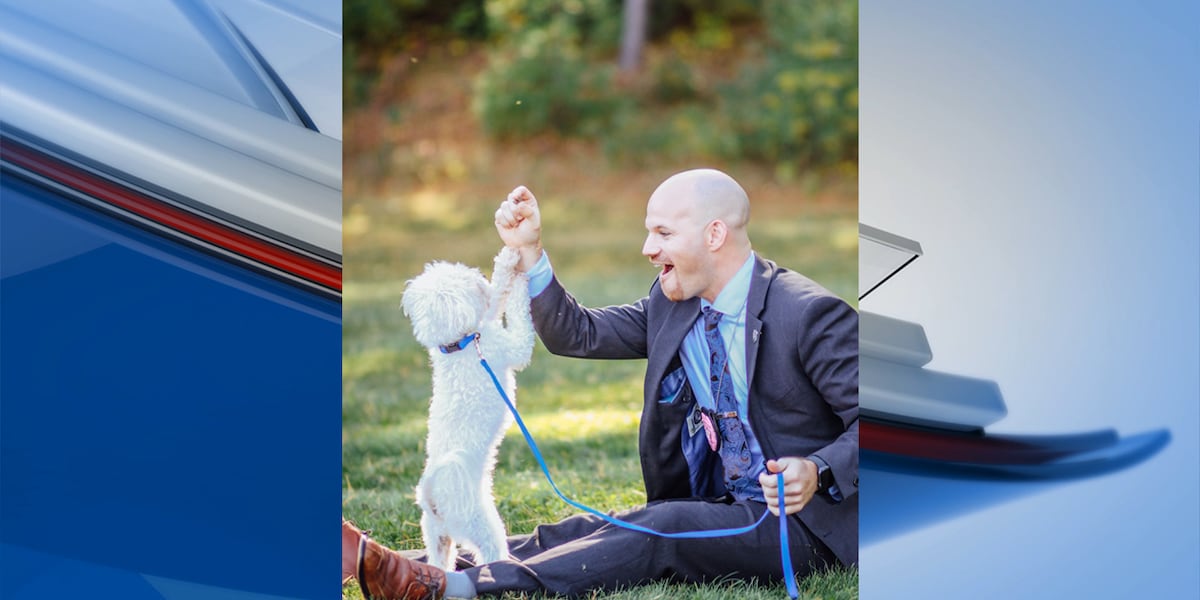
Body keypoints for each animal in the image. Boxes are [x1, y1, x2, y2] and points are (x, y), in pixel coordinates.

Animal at [400, 244, 532, 571]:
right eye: (466, 276)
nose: (478, 274)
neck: (458, 345)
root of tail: (432, 495)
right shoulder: (507, 345)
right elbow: (509, 306)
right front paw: (513, 270)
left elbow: (496, 304)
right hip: (480, 523)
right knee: (491, 551)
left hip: (435, 536)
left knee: (440, 562)